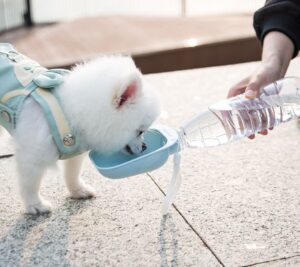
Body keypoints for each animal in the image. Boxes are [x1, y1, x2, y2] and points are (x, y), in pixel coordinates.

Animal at [0, 49, 161, 216]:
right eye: (139, 131)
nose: (145, 147)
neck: (66, 112)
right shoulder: (31, 156)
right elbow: (30, 183)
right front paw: (35, 204)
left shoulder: (74, 150)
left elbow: (72, 173)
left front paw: (78, 190)